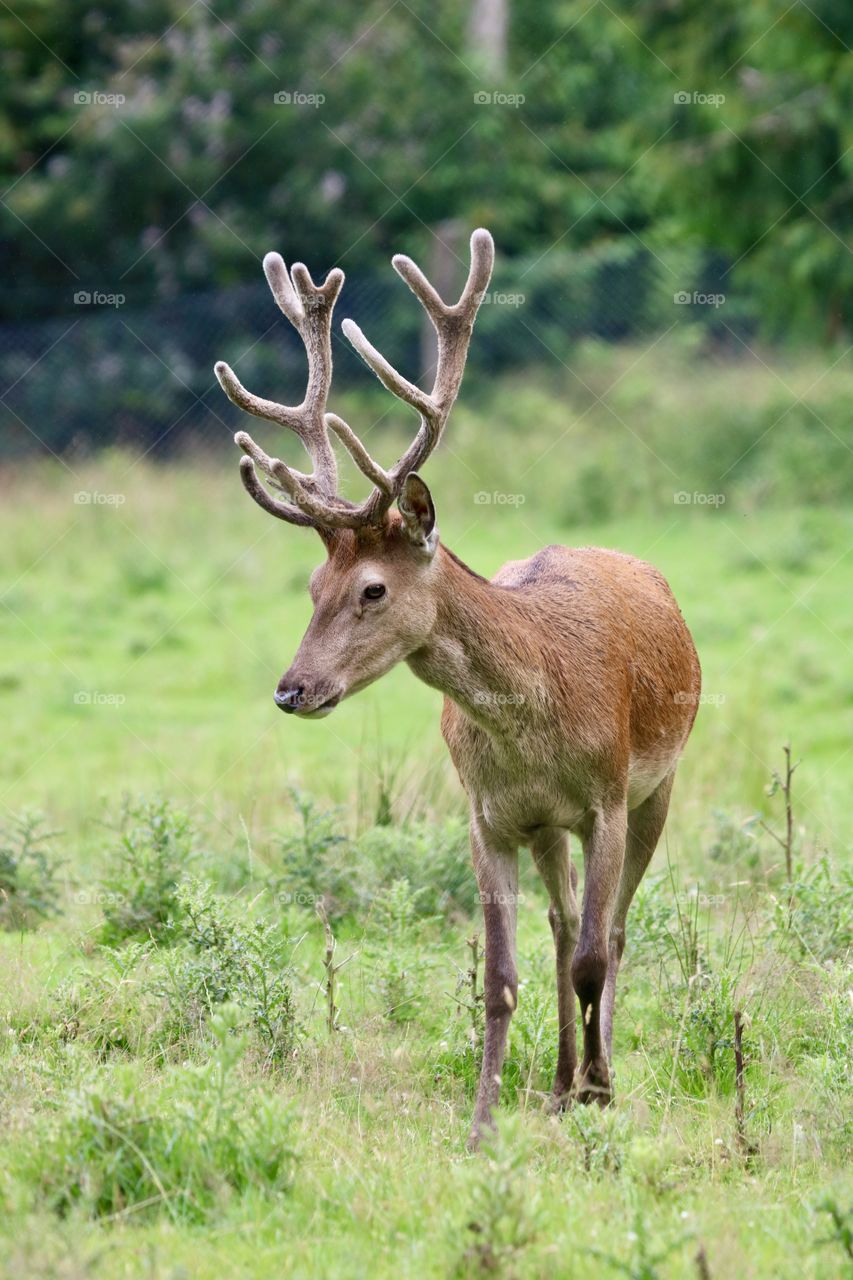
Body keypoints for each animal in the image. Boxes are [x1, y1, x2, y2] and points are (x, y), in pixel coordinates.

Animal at [214, 228, 701, 1149]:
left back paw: (594, 1076)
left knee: (610, 931)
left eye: (372, 589)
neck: (534, 721)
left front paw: (600, 1094)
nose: (292, 690)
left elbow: (596, 955)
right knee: (559, 928)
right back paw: (557, 1083)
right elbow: (501, 975)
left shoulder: (608, 796)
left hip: (660, 782)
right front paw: (483, 1126)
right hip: (545, 829)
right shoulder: (487, 816)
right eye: (312, 586)